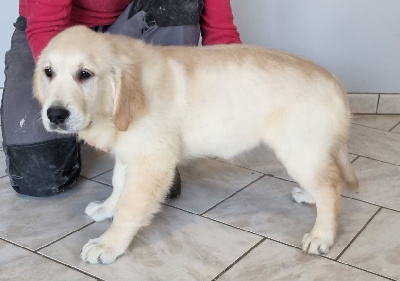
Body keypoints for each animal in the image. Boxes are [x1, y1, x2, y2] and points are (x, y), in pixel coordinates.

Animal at [34, 25, 358, 264]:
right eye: (48, 72)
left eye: (85, 74)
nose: (55, 115)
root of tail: (335, 82)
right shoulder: (131, 153)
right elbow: (117, 185)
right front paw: (105, 209)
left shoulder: (152, 163)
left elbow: (129, 206)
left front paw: (108, 244)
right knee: (327, 182)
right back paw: (309, 197)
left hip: (299, 150)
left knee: (331, 188)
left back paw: (321, 236)